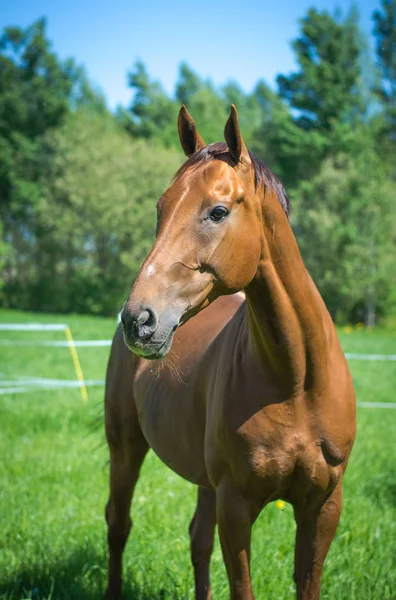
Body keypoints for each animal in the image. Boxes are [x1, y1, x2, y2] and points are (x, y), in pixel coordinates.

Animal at [104, 105, 356, 596]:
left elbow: (307, 580)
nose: (138, 320)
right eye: (161, 209)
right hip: (126, 450)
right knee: (118, 525)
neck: (296, 381)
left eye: (217, 211)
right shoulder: (237, 506)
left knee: (196, 540)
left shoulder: (322, 507)